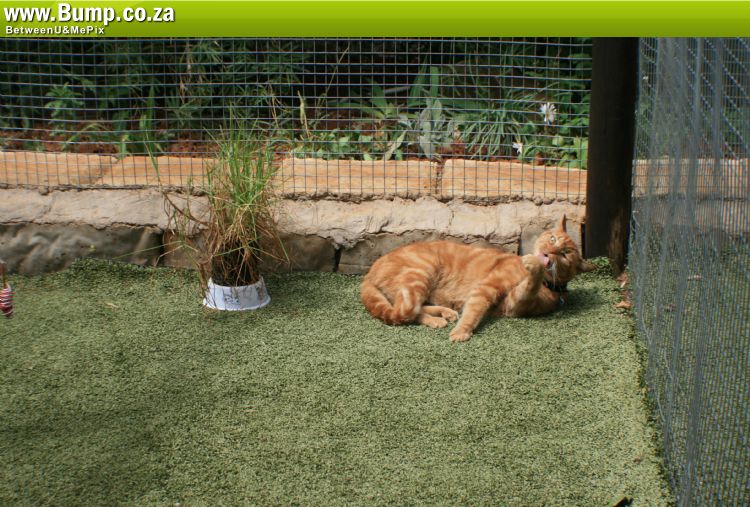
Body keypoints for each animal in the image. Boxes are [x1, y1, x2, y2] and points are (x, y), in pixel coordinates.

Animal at [360, 215, 595, 342]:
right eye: (553, 239)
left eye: (564, 254)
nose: (550, 251)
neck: (548, 287)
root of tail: (367, 275)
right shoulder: (488, 286)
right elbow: (473, 312)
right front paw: (461, 332)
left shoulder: (515, 304)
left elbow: (528, 285)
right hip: (421, 273)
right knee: (403, 312)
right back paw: (438, 318)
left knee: (409, 310)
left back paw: (443, 314)